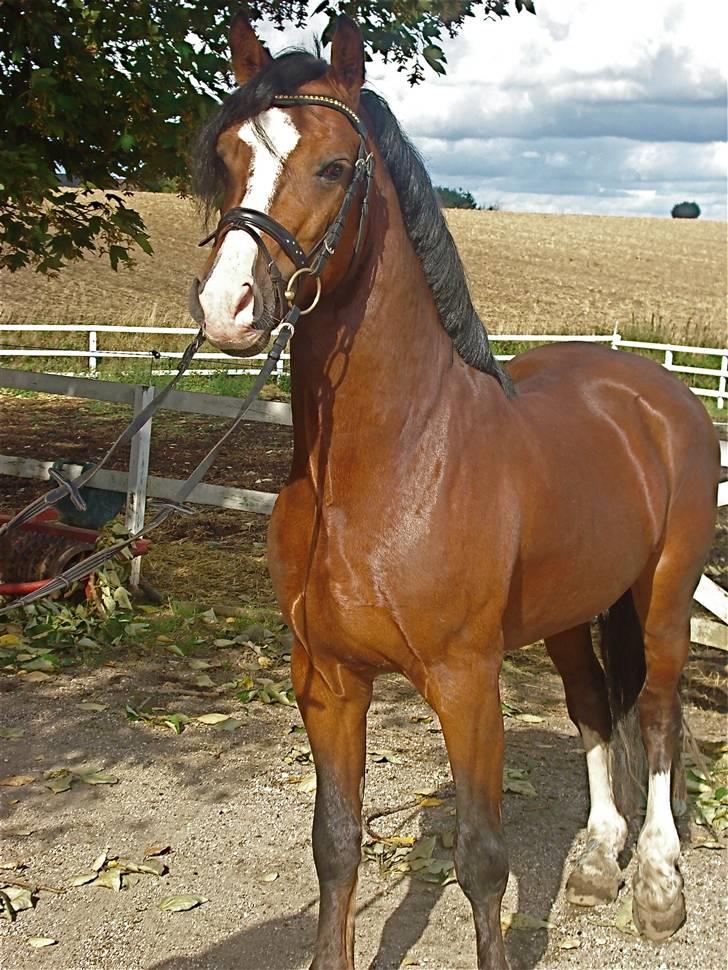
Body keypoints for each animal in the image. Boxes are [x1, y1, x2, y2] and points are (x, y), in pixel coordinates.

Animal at [191, 15, 720, 968]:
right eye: (229, 154)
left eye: (334, 165)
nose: (228, 306)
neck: (389, 467)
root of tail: (657, 394)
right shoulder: (325, 680)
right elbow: (336, 842)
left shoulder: (467, 683)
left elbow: (481, 859)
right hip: (568, 612)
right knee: (594, 706)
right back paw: (597, 861)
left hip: (663, 595)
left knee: (657, 709)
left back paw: (658, 885)